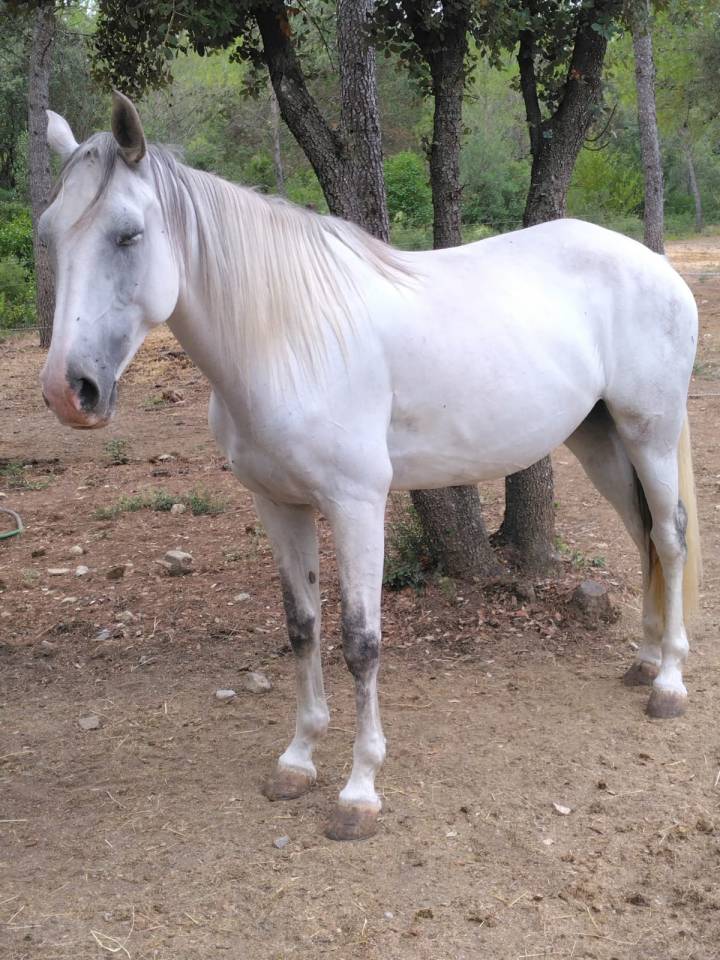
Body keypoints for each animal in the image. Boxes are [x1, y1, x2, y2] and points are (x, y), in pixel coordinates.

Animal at [39, 92, 701, 841]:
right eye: (51, 234)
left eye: (128, 235)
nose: (69, 391)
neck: (286, 337)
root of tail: (656, 266)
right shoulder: (279, 505)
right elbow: (302, 628)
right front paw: (297, 760)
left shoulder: (357, 505)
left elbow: (361, 641)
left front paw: (359, 791)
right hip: (600, 441)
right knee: (643, 537)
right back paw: (644, 662)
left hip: (650, 433)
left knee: (669, 537)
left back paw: (669, 684)